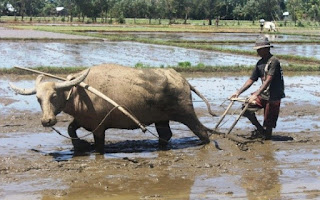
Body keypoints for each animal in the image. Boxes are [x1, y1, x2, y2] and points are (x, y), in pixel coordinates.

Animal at [10, 64, 215, 153]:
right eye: (38, 99)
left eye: (54, 96)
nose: (47, 120)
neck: (80, 92)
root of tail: (183, 81)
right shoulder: (82, 120)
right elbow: (70, 129)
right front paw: (79, 146)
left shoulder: (99, 128)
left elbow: (99, 146)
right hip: (161, 119)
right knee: (166, 135)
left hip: (186, 113)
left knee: (202, 132)